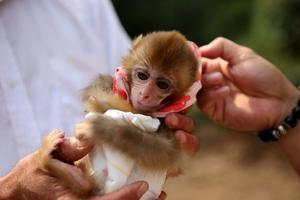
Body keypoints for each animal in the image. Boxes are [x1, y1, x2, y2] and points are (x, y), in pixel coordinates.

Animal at [38, 30, 202, 199]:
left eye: (162, 84)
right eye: (142, 76)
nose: (145, 94)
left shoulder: (169, 123)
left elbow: (168, 152)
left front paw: (103, 127)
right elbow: (98, 85)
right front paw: (102, 97)